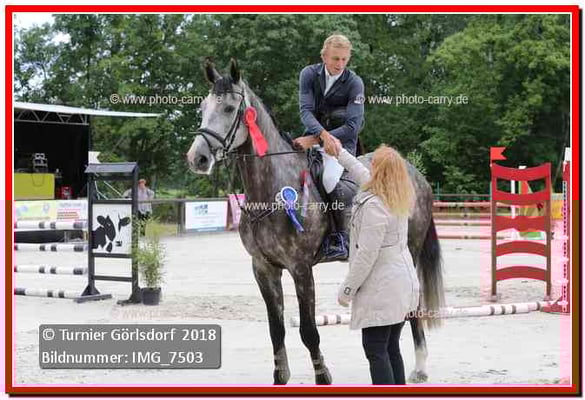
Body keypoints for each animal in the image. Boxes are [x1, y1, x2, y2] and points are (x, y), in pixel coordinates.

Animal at [186, 59, 445, 385]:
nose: (197, 158)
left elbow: (309, 331)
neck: (271, 188)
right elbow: (276, 329)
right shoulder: (263, 268)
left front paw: (323, 376)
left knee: (413, 303)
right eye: (203, 108)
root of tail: (415, 174)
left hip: (410, 249)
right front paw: (280, 377)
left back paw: (420, 366)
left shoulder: (300, 268)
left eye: (230, 109)